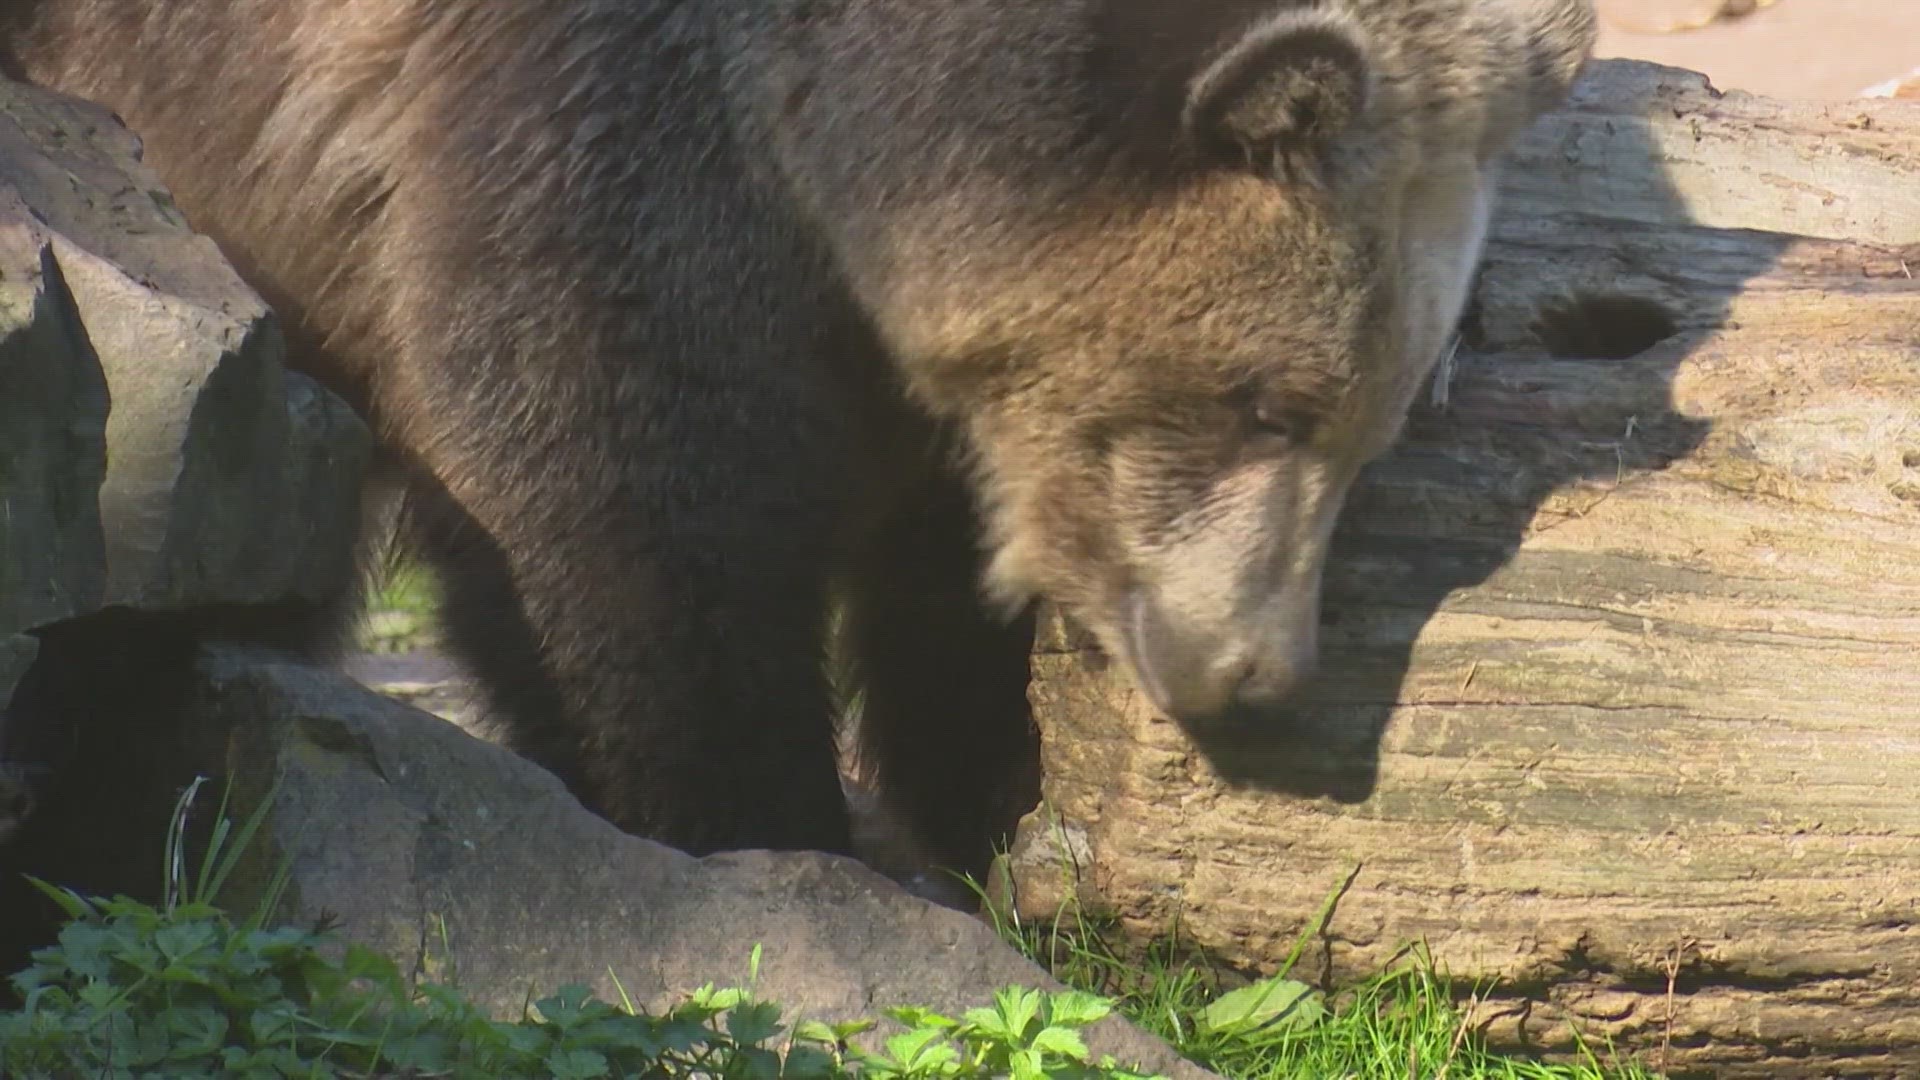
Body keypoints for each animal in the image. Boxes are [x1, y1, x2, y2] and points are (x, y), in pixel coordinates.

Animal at [0, 0, 1589, 883]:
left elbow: (937, 585)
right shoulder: (612, 138)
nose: (1259, 672)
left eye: (1375, 420)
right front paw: (760, 830)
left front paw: (984, 800)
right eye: (1268, 400)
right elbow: (618, 495)